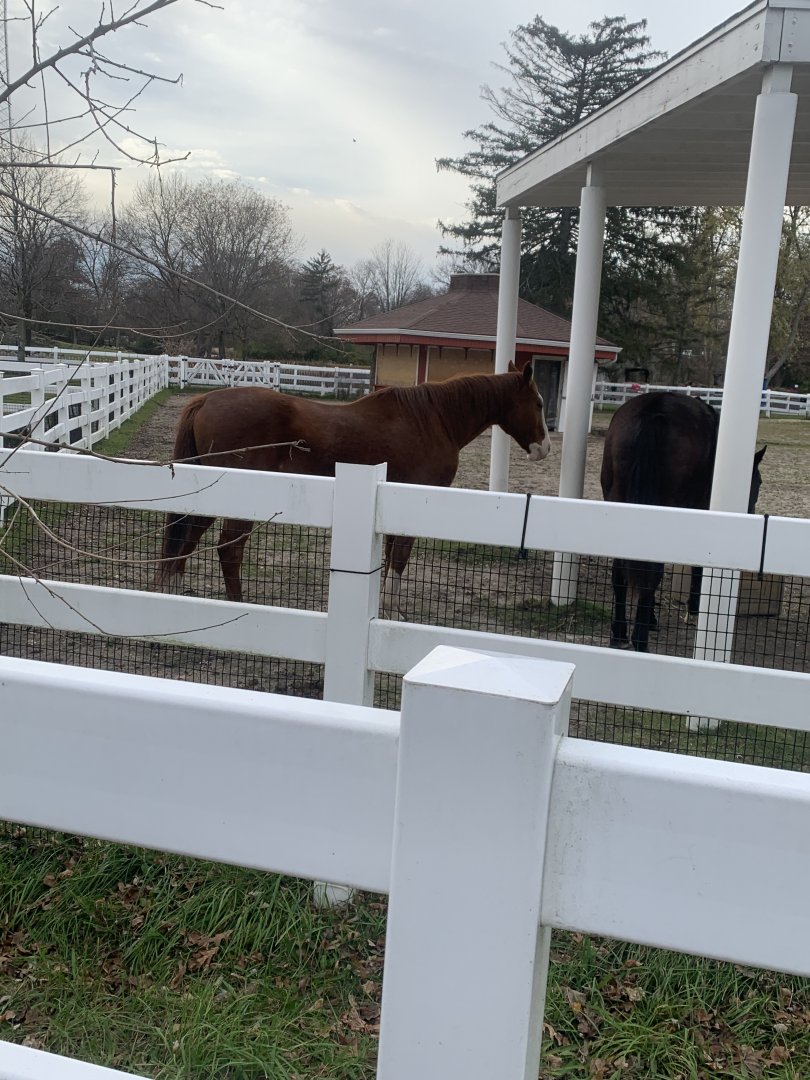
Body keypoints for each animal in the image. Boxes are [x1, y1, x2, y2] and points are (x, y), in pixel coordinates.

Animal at [155, 364, 551, 611]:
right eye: (539, 403)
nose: (544, 448)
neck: (433, 420)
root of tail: (206, 399)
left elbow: (389, 556)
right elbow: (400, 558)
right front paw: (391, 609)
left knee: (188, 539)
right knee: (228, 549)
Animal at [600, 390, 765, 652]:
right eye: (757, 482)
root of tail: (654, 409)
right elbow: (698, 566)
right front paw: (694, 610)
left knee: (621, 570)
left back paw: (619, 634)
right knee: (650, 572)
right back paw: (640, 639)